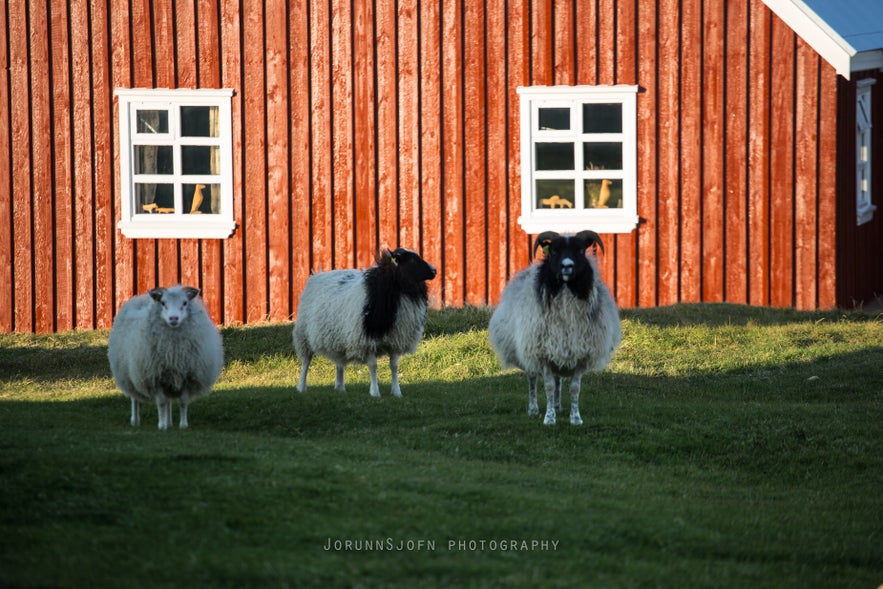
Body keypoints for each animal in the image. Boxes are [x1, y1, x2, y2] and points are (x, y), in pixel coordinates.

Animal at [107, 284, 224, 428]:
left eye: (185, 303)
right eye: (163, 303)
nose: (173, 318)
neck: (174, 352)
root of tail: (140, 297)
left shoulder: (187, 377)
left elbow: (182, 402)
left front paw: (183, 425)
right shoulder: (155, 378)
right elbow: (161, 403)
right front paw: (161, 426)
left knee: (168, 402)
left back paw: (169, 422)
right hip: (130, 374)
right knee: (135, 398)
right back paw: (136, 420)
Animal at [294, 246, 438, 398]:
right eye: (411, 260)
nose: (434, 270)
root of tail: (317, 274)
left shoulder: (395, 339)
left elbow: (394, 366)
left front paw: (397, 392)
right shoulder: (367, 340)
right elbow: (373, 366)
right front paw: (375, 392)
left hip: (338, 335)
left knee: (339, 363)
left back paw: (340, 387)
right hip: (303, 333)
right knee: (306, 361)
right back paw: (301, 386)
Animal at [490, 229, 620, 422]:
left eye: (580, 250)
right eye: (553, 251)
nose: (567, 266)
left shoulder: (580, 353)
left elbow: (574, 388)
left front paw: (575, 418)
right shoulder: (542, 353)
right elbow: (549, 386)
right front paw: (549, 418)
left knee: (558, 379)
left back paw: (558, 406)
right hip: (528, 353)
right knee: (532, 380)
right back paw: (533, 409)